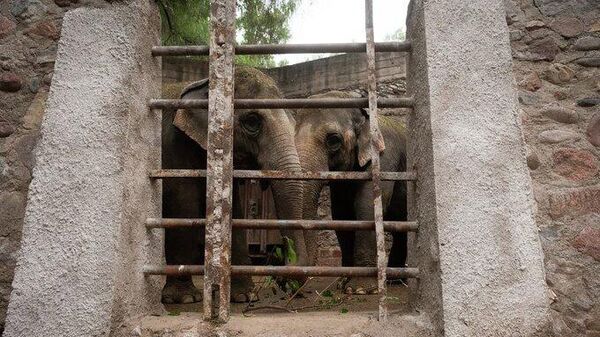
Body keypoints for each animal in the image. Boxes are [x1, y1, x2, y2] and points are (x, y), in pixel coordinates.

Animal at [162, 67, 308, 304]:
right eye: (252, 122)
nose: (283, 274)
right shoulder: (173, 146)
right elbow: (182, 203)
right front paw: (184, 299)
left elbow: (234, 210)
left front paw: (244, 296)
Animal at [296, 90, 408, 286]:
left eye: (333, 140)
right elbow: (342, 214)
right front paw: (344, 281)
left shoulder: (385, 157)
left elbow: (365, 206)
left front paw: (360, 288)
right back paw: (395, 280)